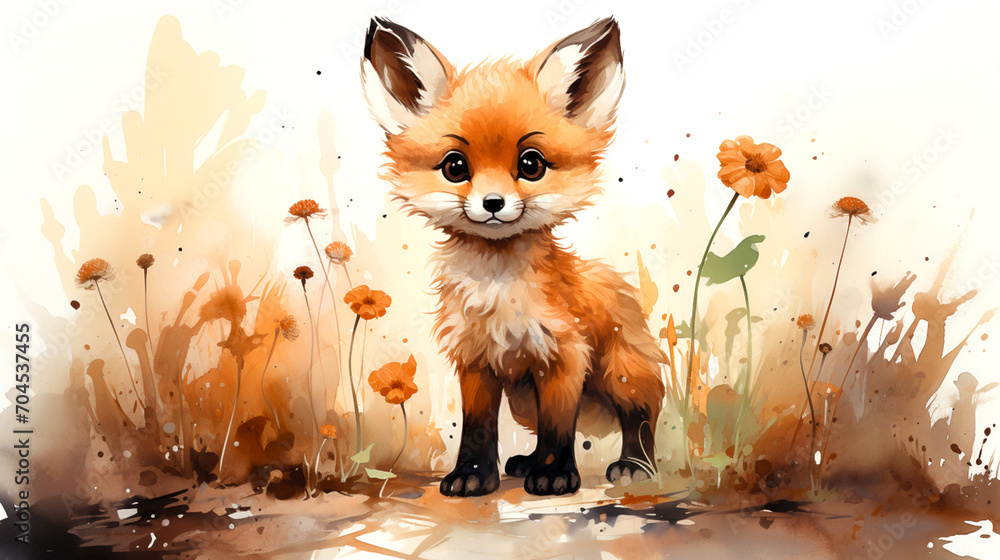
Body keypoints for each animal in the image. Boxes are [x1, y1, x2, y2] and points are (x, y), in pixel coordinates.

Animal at [361, 16, 666, 496]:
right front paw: (472, 475)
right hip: (523, 399)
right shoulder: (475, 360)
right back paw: (523, 463)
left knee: (640, 417)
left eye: (531, 164)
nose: (492, 203)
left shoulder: (565, 355)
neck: (498, 288)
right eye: (455, 167)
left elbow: (559, 426)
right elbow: (478, 427)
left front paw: (555, 475)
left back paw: (636, 465)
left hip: (622, 375)